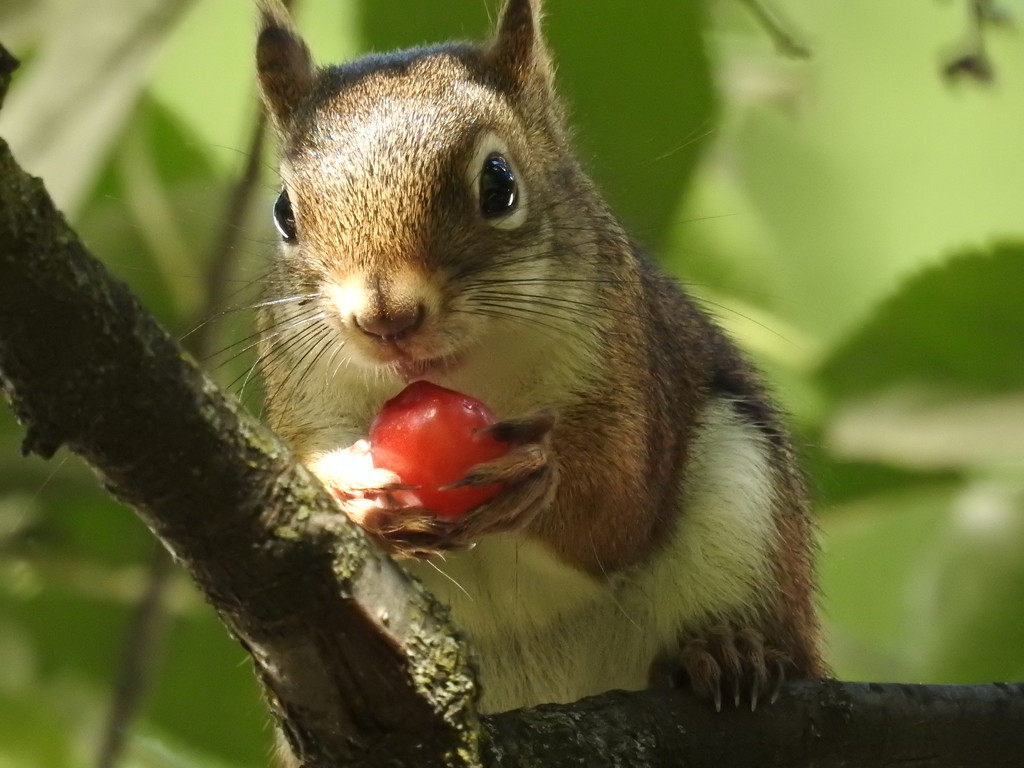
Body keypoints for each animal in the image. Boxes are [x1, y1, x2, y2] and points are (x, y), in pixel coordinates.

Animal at [253, 0, 823, 720]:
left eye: (499, 184)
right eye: (283, 213)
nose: (386, 319)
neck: (467, 377)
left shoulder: (627, 374)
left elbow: (617, 510)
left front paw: (536, 471)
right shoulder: (305, 399)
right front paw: (349, 493)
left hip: (746, 504)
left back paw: (725, 652)